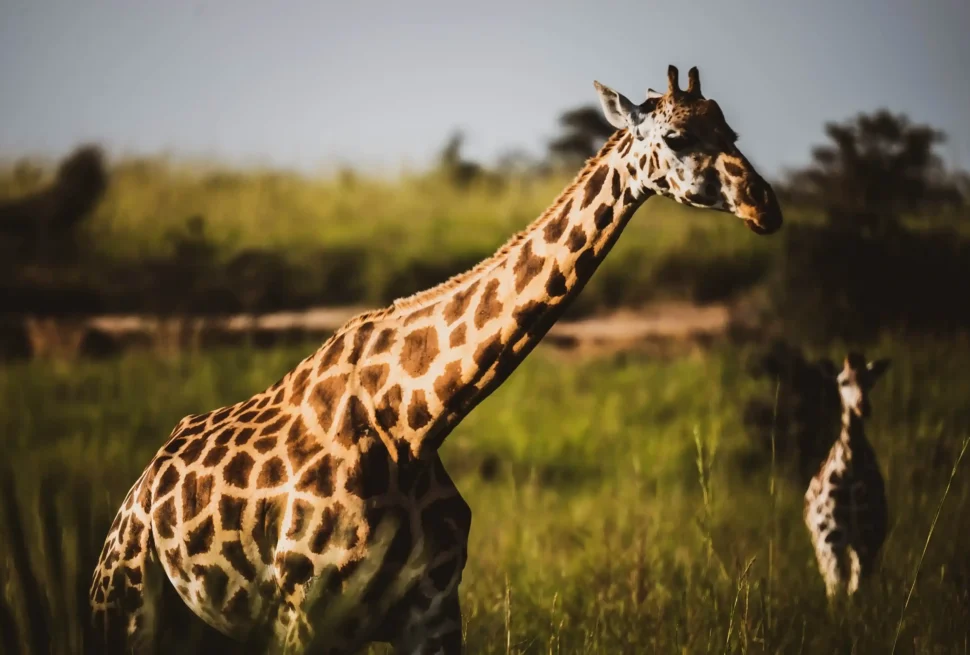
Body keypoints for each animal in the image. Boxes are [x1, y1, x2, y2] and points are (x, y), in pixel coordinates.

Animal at [90, 65, 783, 654]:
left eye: (731, 131)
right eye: (677, 136)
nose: (765, 205)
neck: (415, 422)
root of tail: (137, 493)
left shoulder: (434, 613)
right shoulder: (300, 614)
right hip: (126, 609)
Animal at [804, 352, 891, 600]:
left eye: (871, 380)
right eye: (842, 382)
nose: (863, 407)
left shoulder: (869, 536)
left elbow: (856, 588)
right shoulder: (831, 537)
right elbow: (838, 586)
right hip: (823, 543)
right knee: (833, 583)